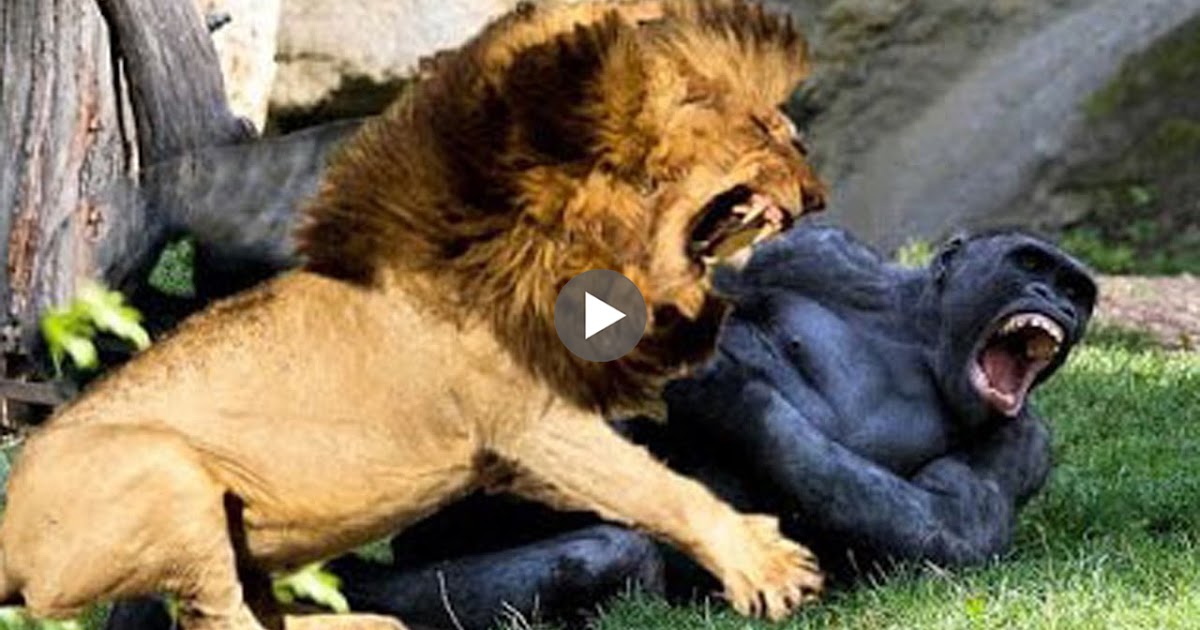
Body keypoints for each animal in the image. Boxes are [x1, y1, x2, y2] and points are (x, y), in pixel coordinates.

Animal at [0, 2, 828, 628]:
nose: (817, 187)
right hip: (163, 472)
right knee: (218, 621)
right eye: (764, 129)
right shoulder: (530, 419)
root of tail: (6, 524)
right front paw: (767, 567)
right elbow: (657, 488)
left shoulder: (518, 452)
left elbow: (639, 480)